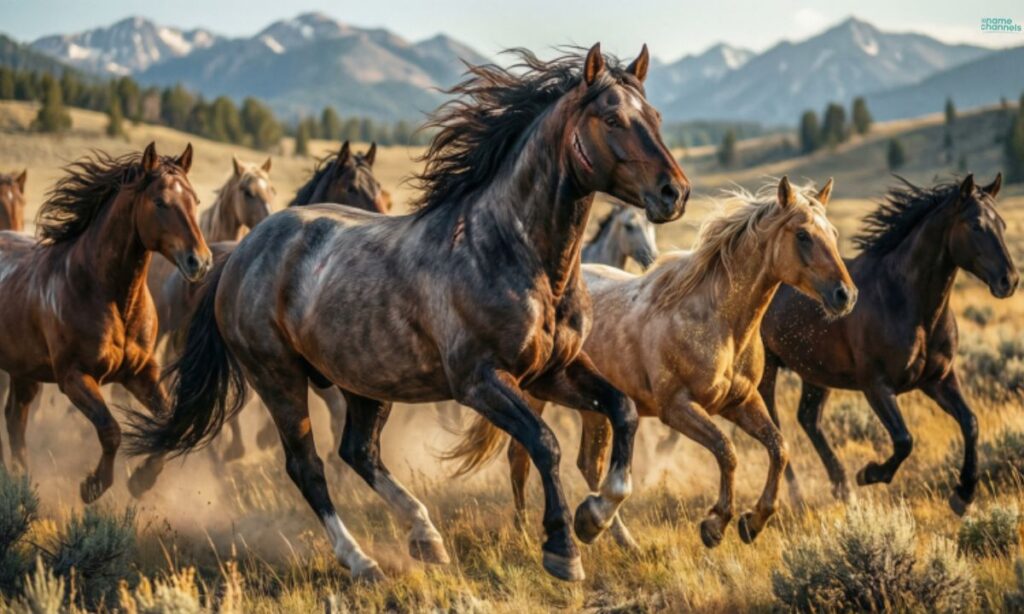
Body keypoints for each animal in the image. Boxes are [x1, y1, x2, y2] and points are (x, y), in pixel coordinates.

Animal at [0, 143, 211, 502]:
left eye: (194, 201)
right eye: (160, 201)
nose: (200, 261)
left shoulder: (141, 372)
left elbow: (171, 425)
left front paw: (142, 479)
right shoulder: (75, 377)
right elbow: (110, 430)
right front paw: (93, 487)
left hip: (24, 371)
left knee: (16, 417)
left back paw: (21, 481)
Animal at [125, 44, 689, 583]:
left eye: (656, 115)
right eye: (612, 119)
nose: (674, 192)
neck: (516, 253)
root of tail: (238, 255)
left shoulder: (554, 371)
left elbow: (622, 410)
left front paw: (595, 516)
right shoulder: (481, 382)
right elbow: (544, 443)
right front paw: (562, 548)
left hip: (363, 382)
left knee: (359, 451)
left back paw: (425, 536)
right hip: (278, 378)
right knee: (308, 467)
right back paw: (361, 561)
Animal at [451, 176, 855, 549]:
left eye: (833, 233)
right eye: (803, 235)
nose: (845, 295)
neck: (716, 321)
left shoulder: (741, 401)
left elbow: (778, 448)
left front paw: (753, 522)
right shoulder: (676, 408)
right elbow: (727, 450)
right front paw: (715, 524)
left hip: (595, 408)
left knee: (589, 464)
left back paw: (611, 533)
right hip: (535, 396)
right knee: (520, 457)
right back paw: (527, 531)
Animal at [759, 174, 1019, 515]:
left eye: (1002, 223)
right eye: (975, 225)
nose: (1009, 281)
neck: (907, 300)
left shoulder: (938, 379)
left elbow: (970, 422)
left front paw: (963, 495)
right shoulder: (877, 386)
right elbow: (904, 440)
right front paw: (869, 473)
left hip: (815, 373)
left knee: (808, 419)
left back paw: (842, 488)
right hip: (766, 369)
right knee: (774, 424)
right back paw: (797, 495)